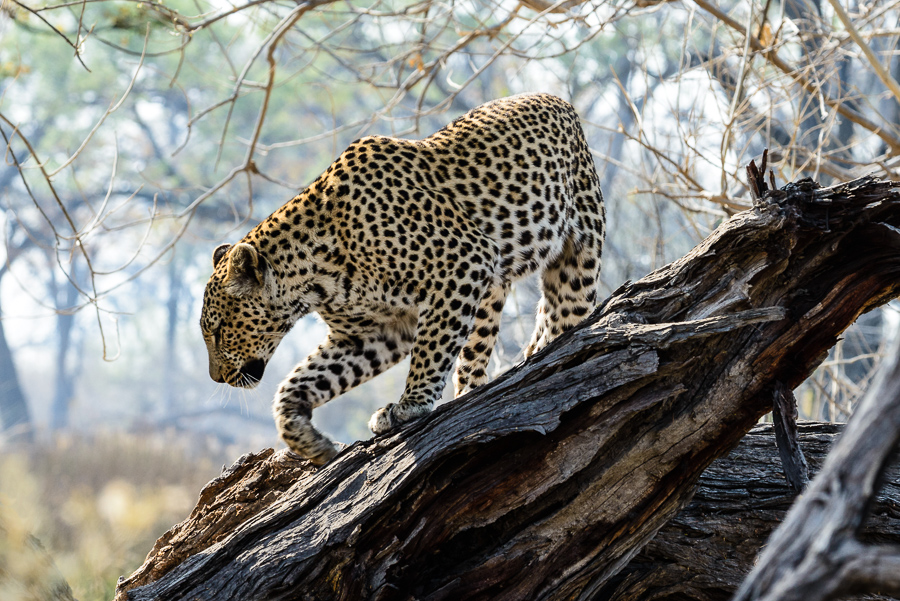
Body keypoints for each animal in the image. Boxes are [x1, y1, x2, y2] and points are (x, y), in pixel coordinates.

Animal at [201, 94, 608, 464]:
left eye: (219, 331)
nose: (216, 379)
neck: (314, 279)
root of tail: (558, 100)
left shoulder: (460, 262)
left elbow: (432, 349)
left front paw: (411, 405)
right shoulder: (371, 332)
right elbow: (297, 382)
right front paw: (309, 440)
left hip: (577, 256)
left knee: (565, 314)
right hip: (490, 295)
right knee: (477, 355)